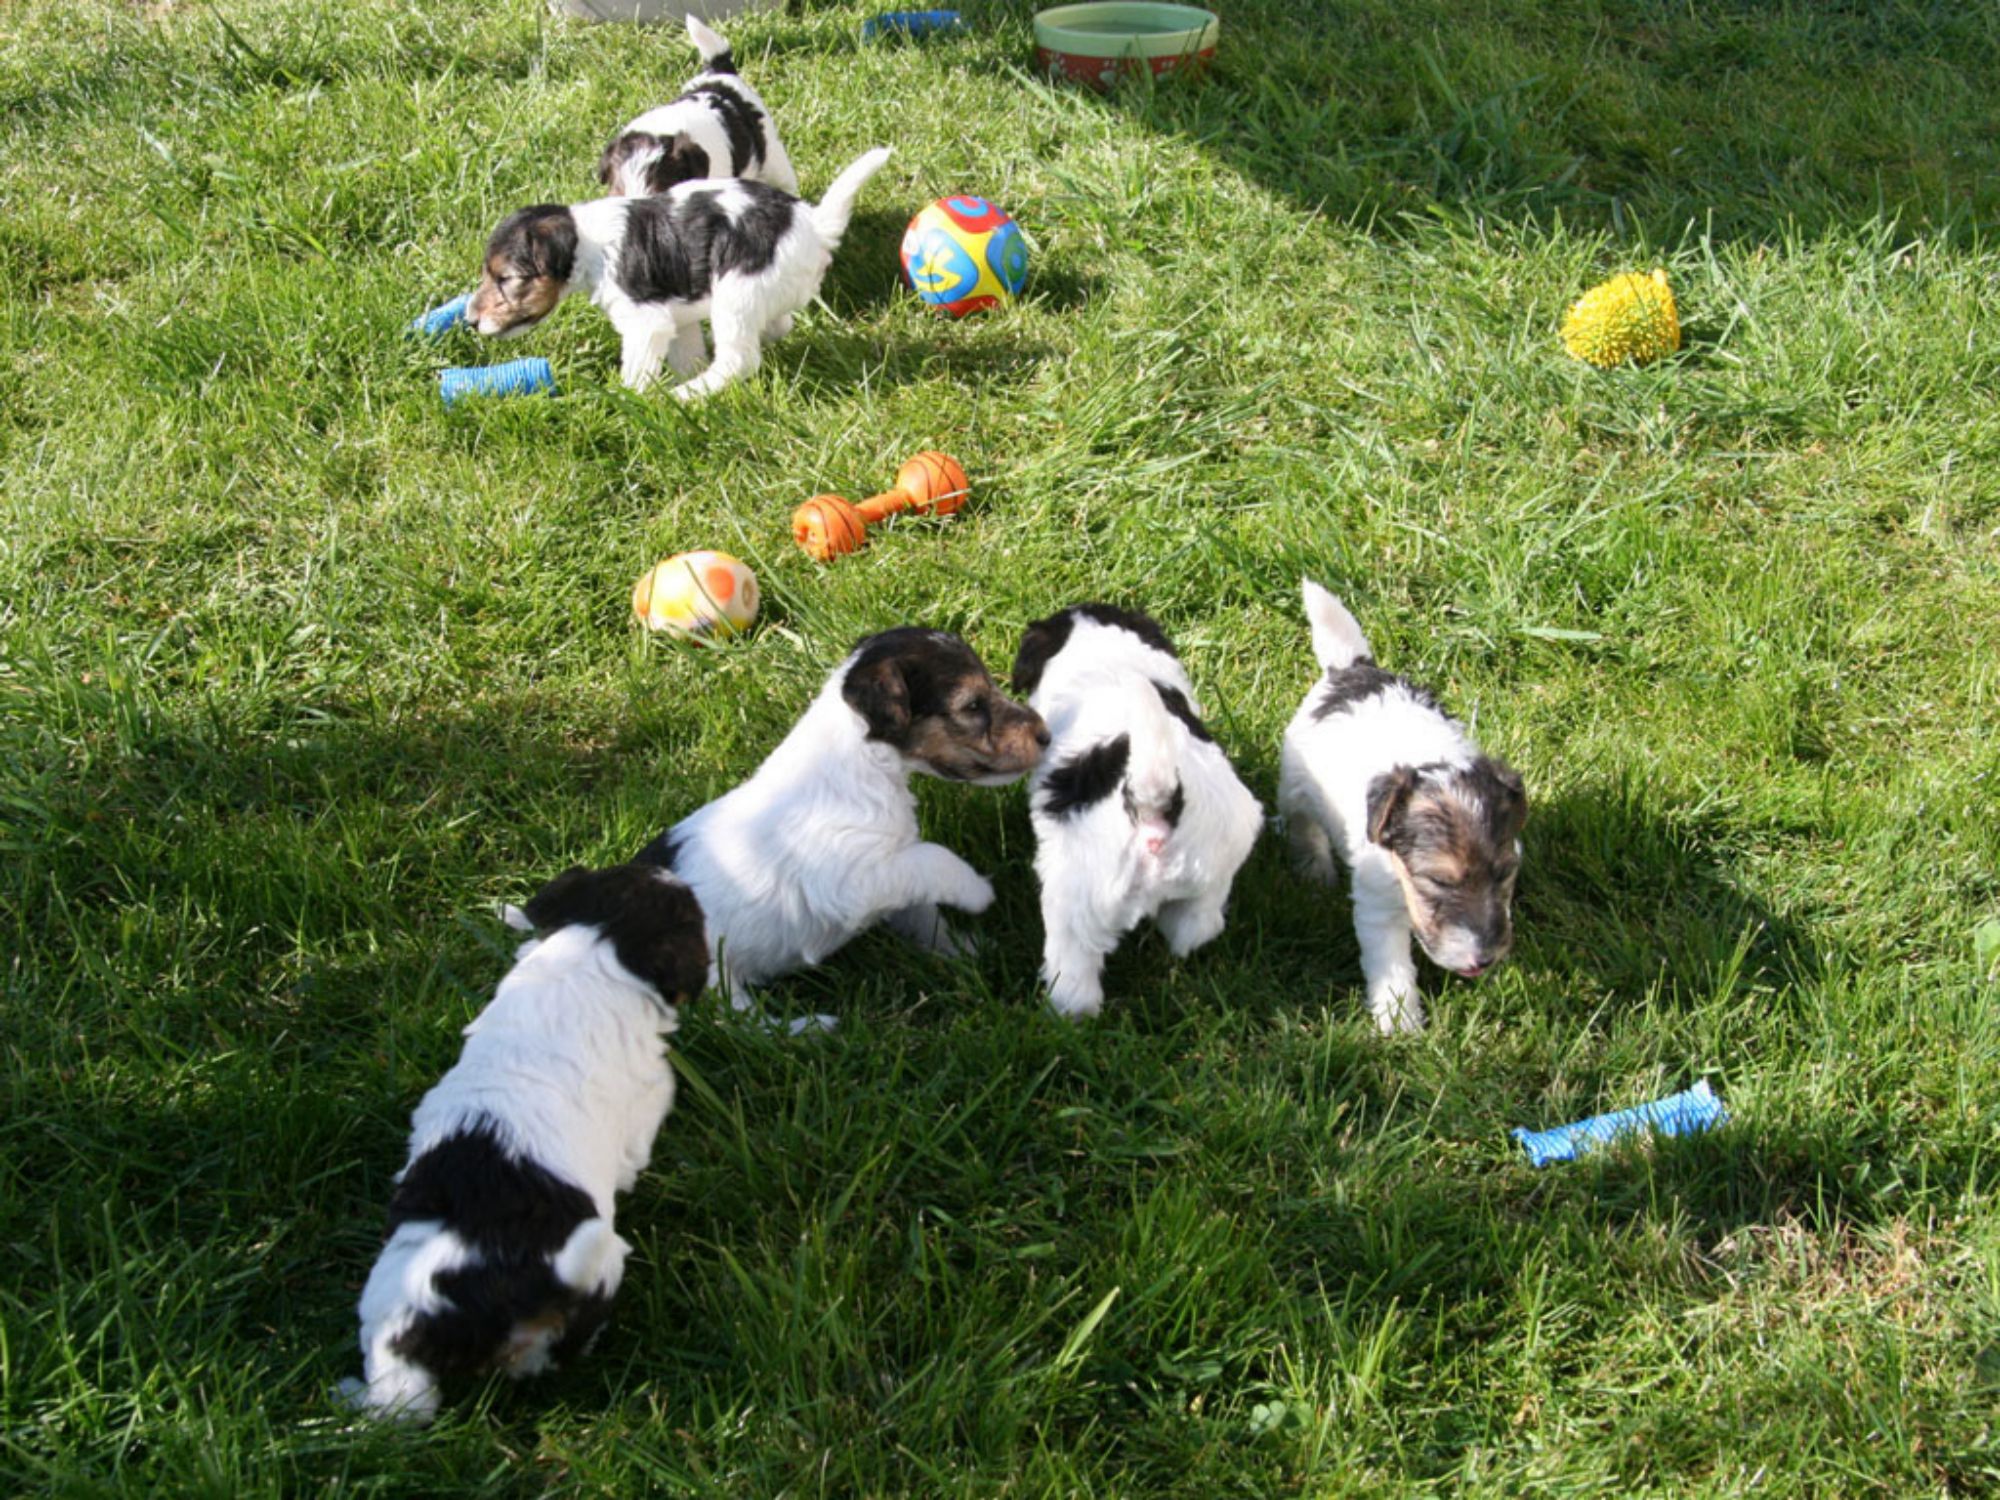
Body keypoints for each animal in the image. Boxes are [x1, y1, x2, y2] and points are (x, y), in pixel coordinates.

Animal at [468, 146, 889, 400]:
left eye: (506, 279)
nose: (470, 320)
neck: (587, 243)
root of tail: (815, 226)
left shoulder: (644, 323)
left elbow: (637, 370)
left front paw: (630, 400)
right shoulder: (677, 316)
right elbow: (687, 353)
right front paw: (682, 374)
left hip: (737, 292)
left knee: (738, 361)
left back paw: (685, 396)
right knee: (775, 327)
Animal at [635, 628, 1047, 1028]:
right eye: (972, 705)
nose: (1045, 734)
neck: (864, 764)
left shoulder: (897, 877)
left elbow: (927, 914)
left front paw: (969, 952)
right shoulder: (852, 880)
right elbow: (935, 857)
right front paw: (977, 891)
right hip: (709, 974)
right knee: (742, 1022)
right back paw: (812, 1028)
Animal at [1011, 605, 1263, 1019]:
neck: (1107, 655)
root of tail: (1158, 804)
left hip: (1074, 900)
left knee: (1075, 978)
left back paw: (1065, 1017)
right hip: (1211, 879)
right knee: (1196, 928)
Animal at [1277, 580, 1526, 1034]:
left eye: (1504, 873)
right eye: (1439, 880)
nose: (1482, 959)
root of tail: (1350, 668)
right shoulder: (1377, 904)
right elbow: (1391, 964)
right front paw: (1400, 1022)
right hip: (1294, 785)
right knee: (1303, 825)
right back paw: (1314, 869)